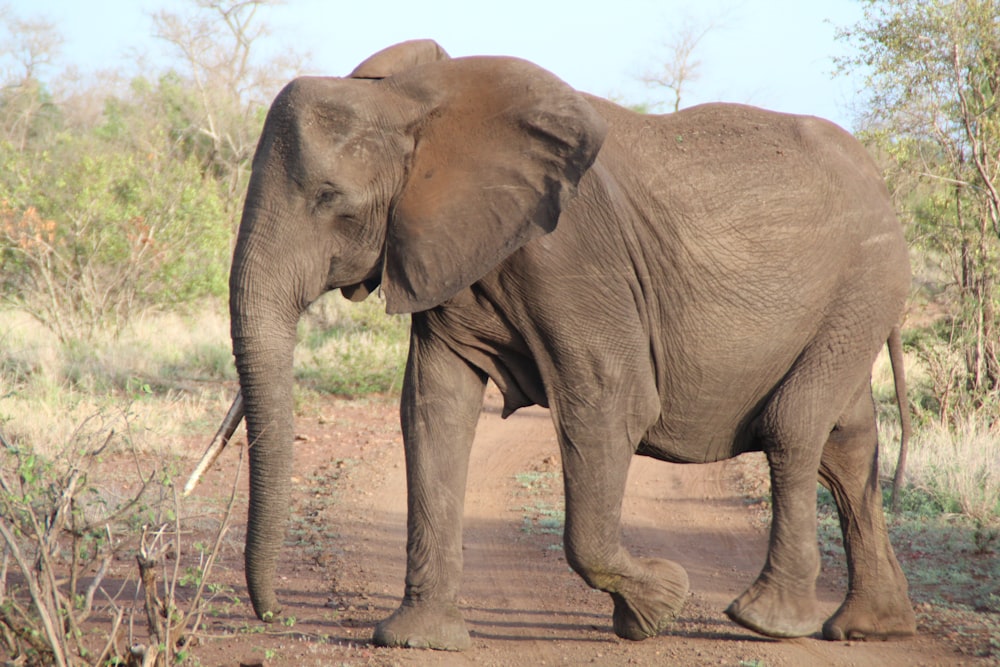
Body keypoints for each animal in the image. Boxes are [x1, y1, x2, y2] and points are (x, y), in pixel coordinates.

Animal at [219, 37, 916, 652]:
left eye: (330, 201)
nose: (272, 614)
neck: (419, 105)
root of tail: (882, 182)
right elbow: (432, 407)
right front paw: (418, 641)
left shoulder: (571, 257)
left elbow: (611, 402)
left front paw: (660, 606)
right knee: (847, 442)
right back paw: (870, 628)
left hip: (864, 284)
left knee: (794, 426)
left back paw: (767, 621)